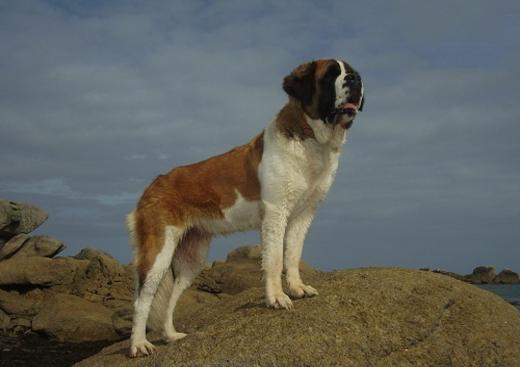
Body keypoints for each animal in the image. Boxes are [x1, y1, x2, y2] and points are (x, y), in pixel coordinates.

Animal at [127, 59, 362, 358]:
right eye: (332, 74)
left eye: (351, 72)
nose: (355, 79)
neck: (310, 137)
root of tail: (153, 184)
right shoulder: (275, 213)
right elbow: (274, 259)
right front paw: (276, 299)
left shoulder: (303, 216)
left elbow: (292, 255)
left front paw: (297, 288)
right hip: (158, 252)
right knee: (142, 300)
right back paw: (138, 345)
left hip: (192, 257)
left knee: (170, 296)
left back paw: (171, 336)